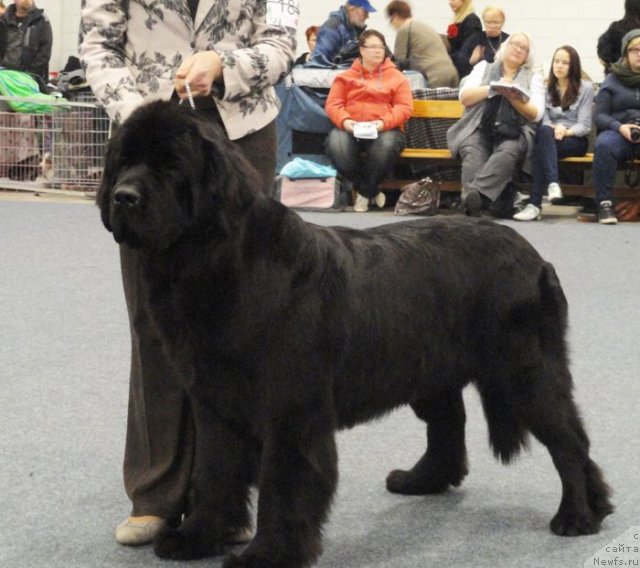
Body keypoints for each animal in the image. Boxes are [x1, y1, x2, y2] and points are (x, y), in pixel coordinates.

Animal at [97, 102, 612, 568]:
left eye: (171, 166)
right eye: (124, 162)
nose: (123, 197)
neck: (217, 260)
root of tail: (536, 258)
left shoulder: (291, 409)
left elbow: (284, 483)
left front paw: (268, 554)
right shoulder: (215, 400)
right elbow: (214, 473)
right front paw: (198, 538)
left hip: (525, 371)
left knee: (568, 439)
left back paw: (579, 515)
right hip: (431, 369)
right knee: (449, 426)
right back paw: (424, 481)